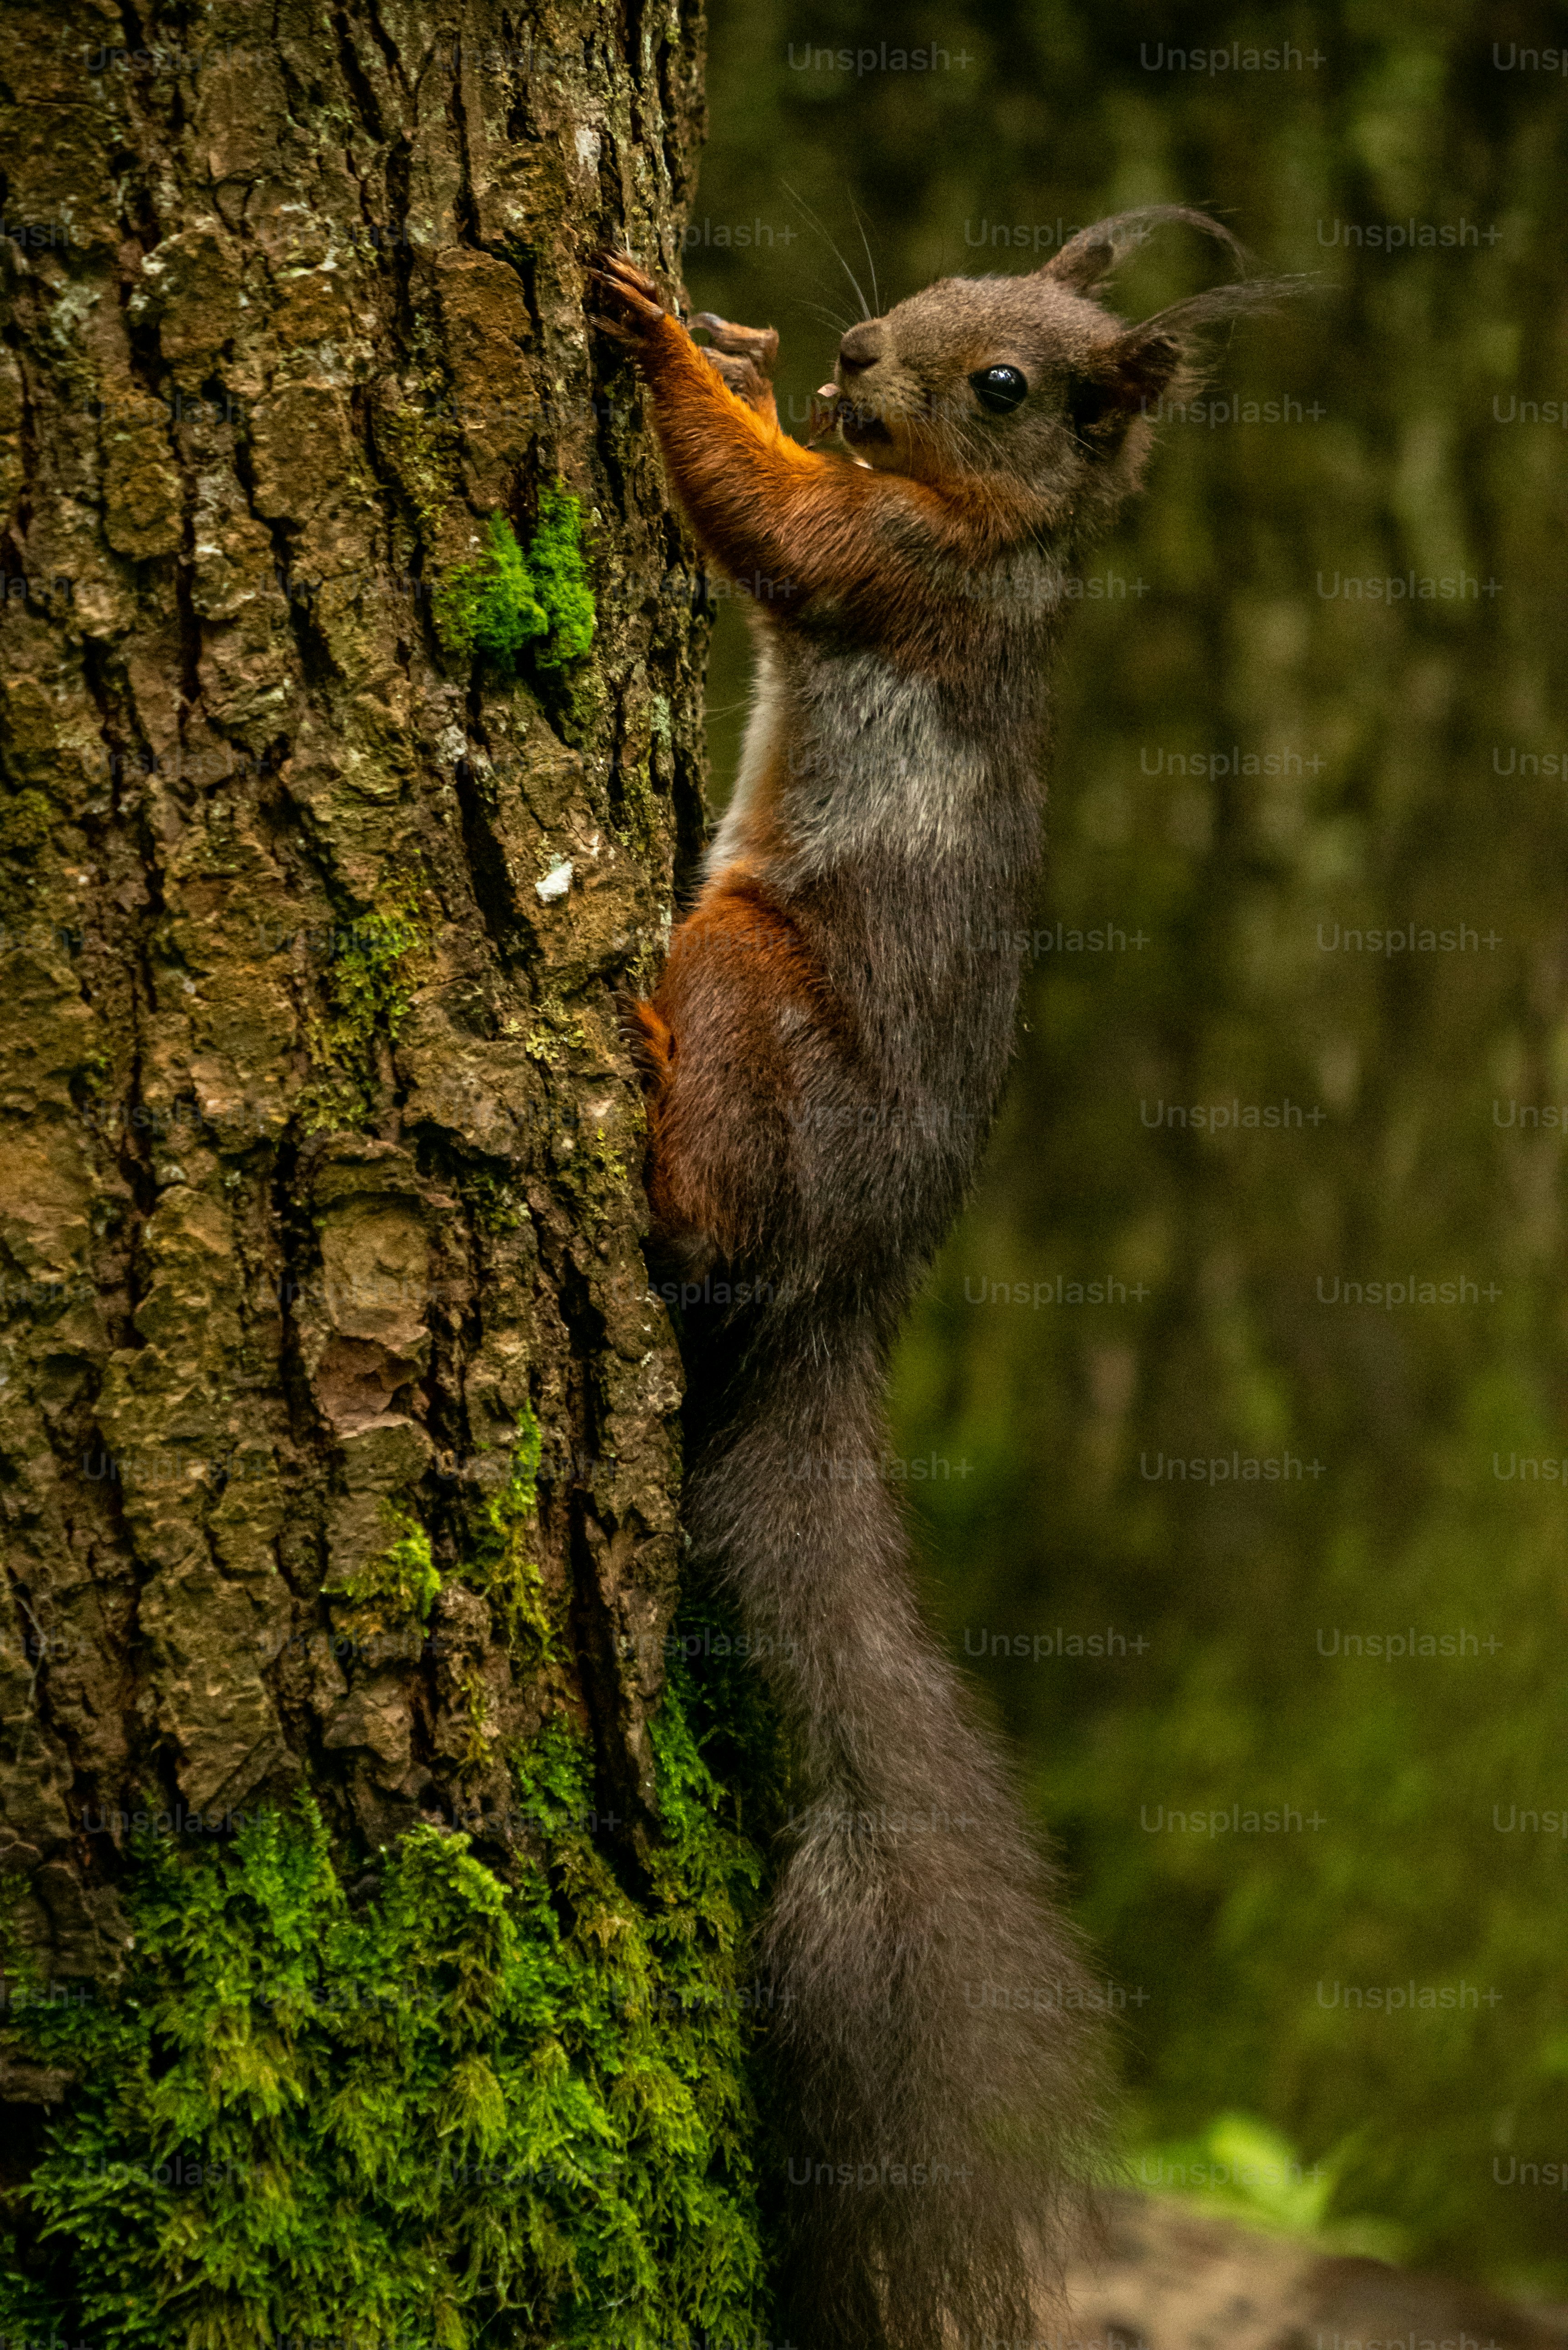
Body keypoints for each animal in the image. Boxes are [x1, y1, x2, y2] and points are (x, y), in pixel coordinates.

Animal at [590, 210, 1282, 2350]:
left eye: (1003, 386)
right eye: (944, 294)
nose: (858, 349)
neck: (996, 541)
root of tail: (851, 1285)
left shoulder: (888, 568)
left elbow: (770, 517)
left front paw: (667, 349)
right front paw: (729, 340)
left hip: (759, 986)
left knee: (704, 1209)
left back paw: (638, 1079)